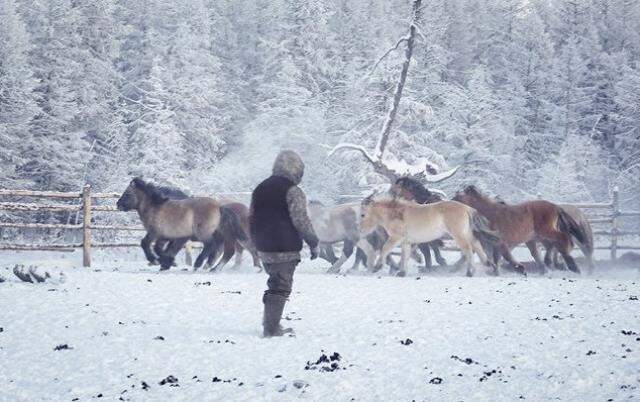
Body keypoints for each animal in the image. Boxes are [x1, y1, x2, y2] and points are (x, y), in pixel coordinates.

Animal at [358, 196, 498, 278]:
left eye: (363, 215)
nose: (360, 230)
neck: (396, 214)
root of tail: (467, 208)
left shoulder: (396, 238)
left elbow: (385, 249)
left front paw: (377, 267)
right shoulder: (406, 242)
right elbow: (405, 256)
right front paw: (402, 272)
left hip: (459, 235)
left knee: (468, 249)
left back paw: (470, 272)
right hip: (467, 233)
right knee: (476, 245)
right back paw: (489, 265)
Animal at [452, 186, 588, 274]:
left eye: (458, 196)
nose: (450, 201)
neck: (488, 214)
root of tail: (555, 206)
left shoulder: (500, 241)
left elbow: (505, 256)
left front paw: (519, 269)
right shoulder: (491, 243)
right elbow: (494, 257)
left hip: (545, 231)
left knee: (562, 240)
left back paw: (570, 264)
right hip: (535, 237)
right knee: (548, 248)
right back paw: (549, 266)